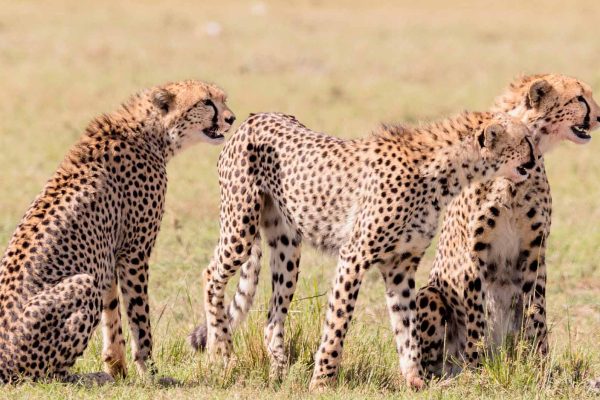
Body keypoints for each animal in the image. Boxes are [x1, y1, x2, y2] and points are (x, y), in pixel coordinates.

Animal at [0, 79, 234, 382]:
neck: (151, 132)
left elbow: (112, 313)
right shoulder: (134, 252)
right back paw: (87, 378)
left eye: (223, 99)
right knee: (43, 375)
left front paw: (117, 367)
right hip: (81, 285)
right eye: (206, 102)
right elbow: (139, 317)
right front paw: (150, 373)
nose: (231, 118)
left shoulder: (109, 253)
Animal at [192, 108, 536, 388]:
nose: (535, 162)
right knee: (210, 275)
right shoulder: (354, 256)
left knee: (272, 316)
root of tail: (255, 117)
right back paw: (220, 351)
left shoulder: (400, 265)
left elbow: (406, 326)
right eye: (525, 141)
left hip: (286, 248)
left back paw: (278, 371)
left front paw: (415, 379)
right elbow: (338, 322)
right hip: (240, 227)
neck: (444, 174)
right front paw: (322, 382)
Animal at [412, 75, 600, 378]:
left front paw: (538, 364)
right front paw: (477, 367)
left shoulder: (534, 250)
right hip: (429, 295)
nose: (598, 117)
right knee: (435, 359)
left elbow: (536, 309)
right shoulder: (473, 252)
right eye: (579, 98)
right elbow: (476, 314)